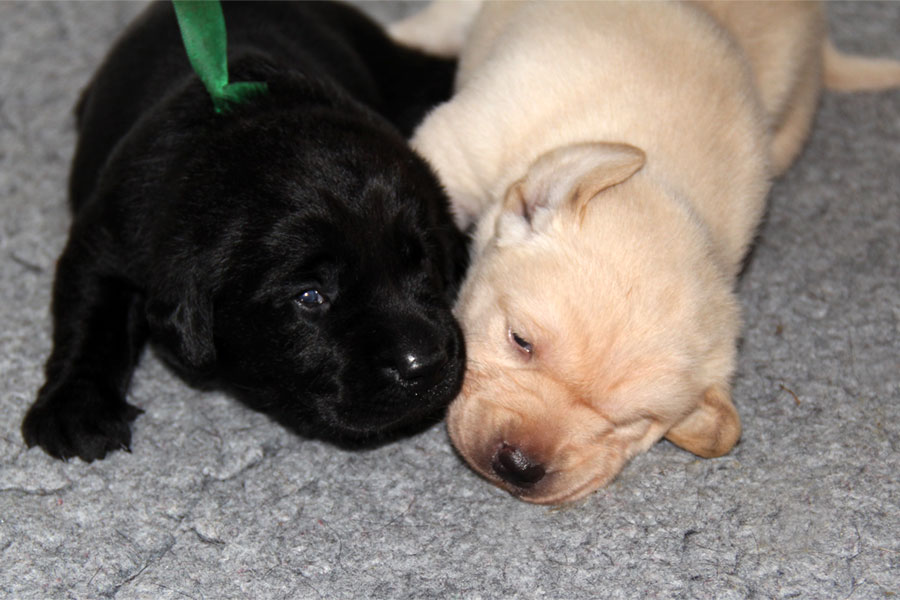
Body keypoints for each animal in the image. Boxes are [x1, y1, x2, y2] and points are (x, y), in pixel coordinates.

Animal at [21, 1, 471, 462]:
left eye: (423, 261)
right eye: (310, 297)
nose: (427, 363)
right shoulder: (110, 231)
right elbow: (88, 312)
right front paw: (75, 410)